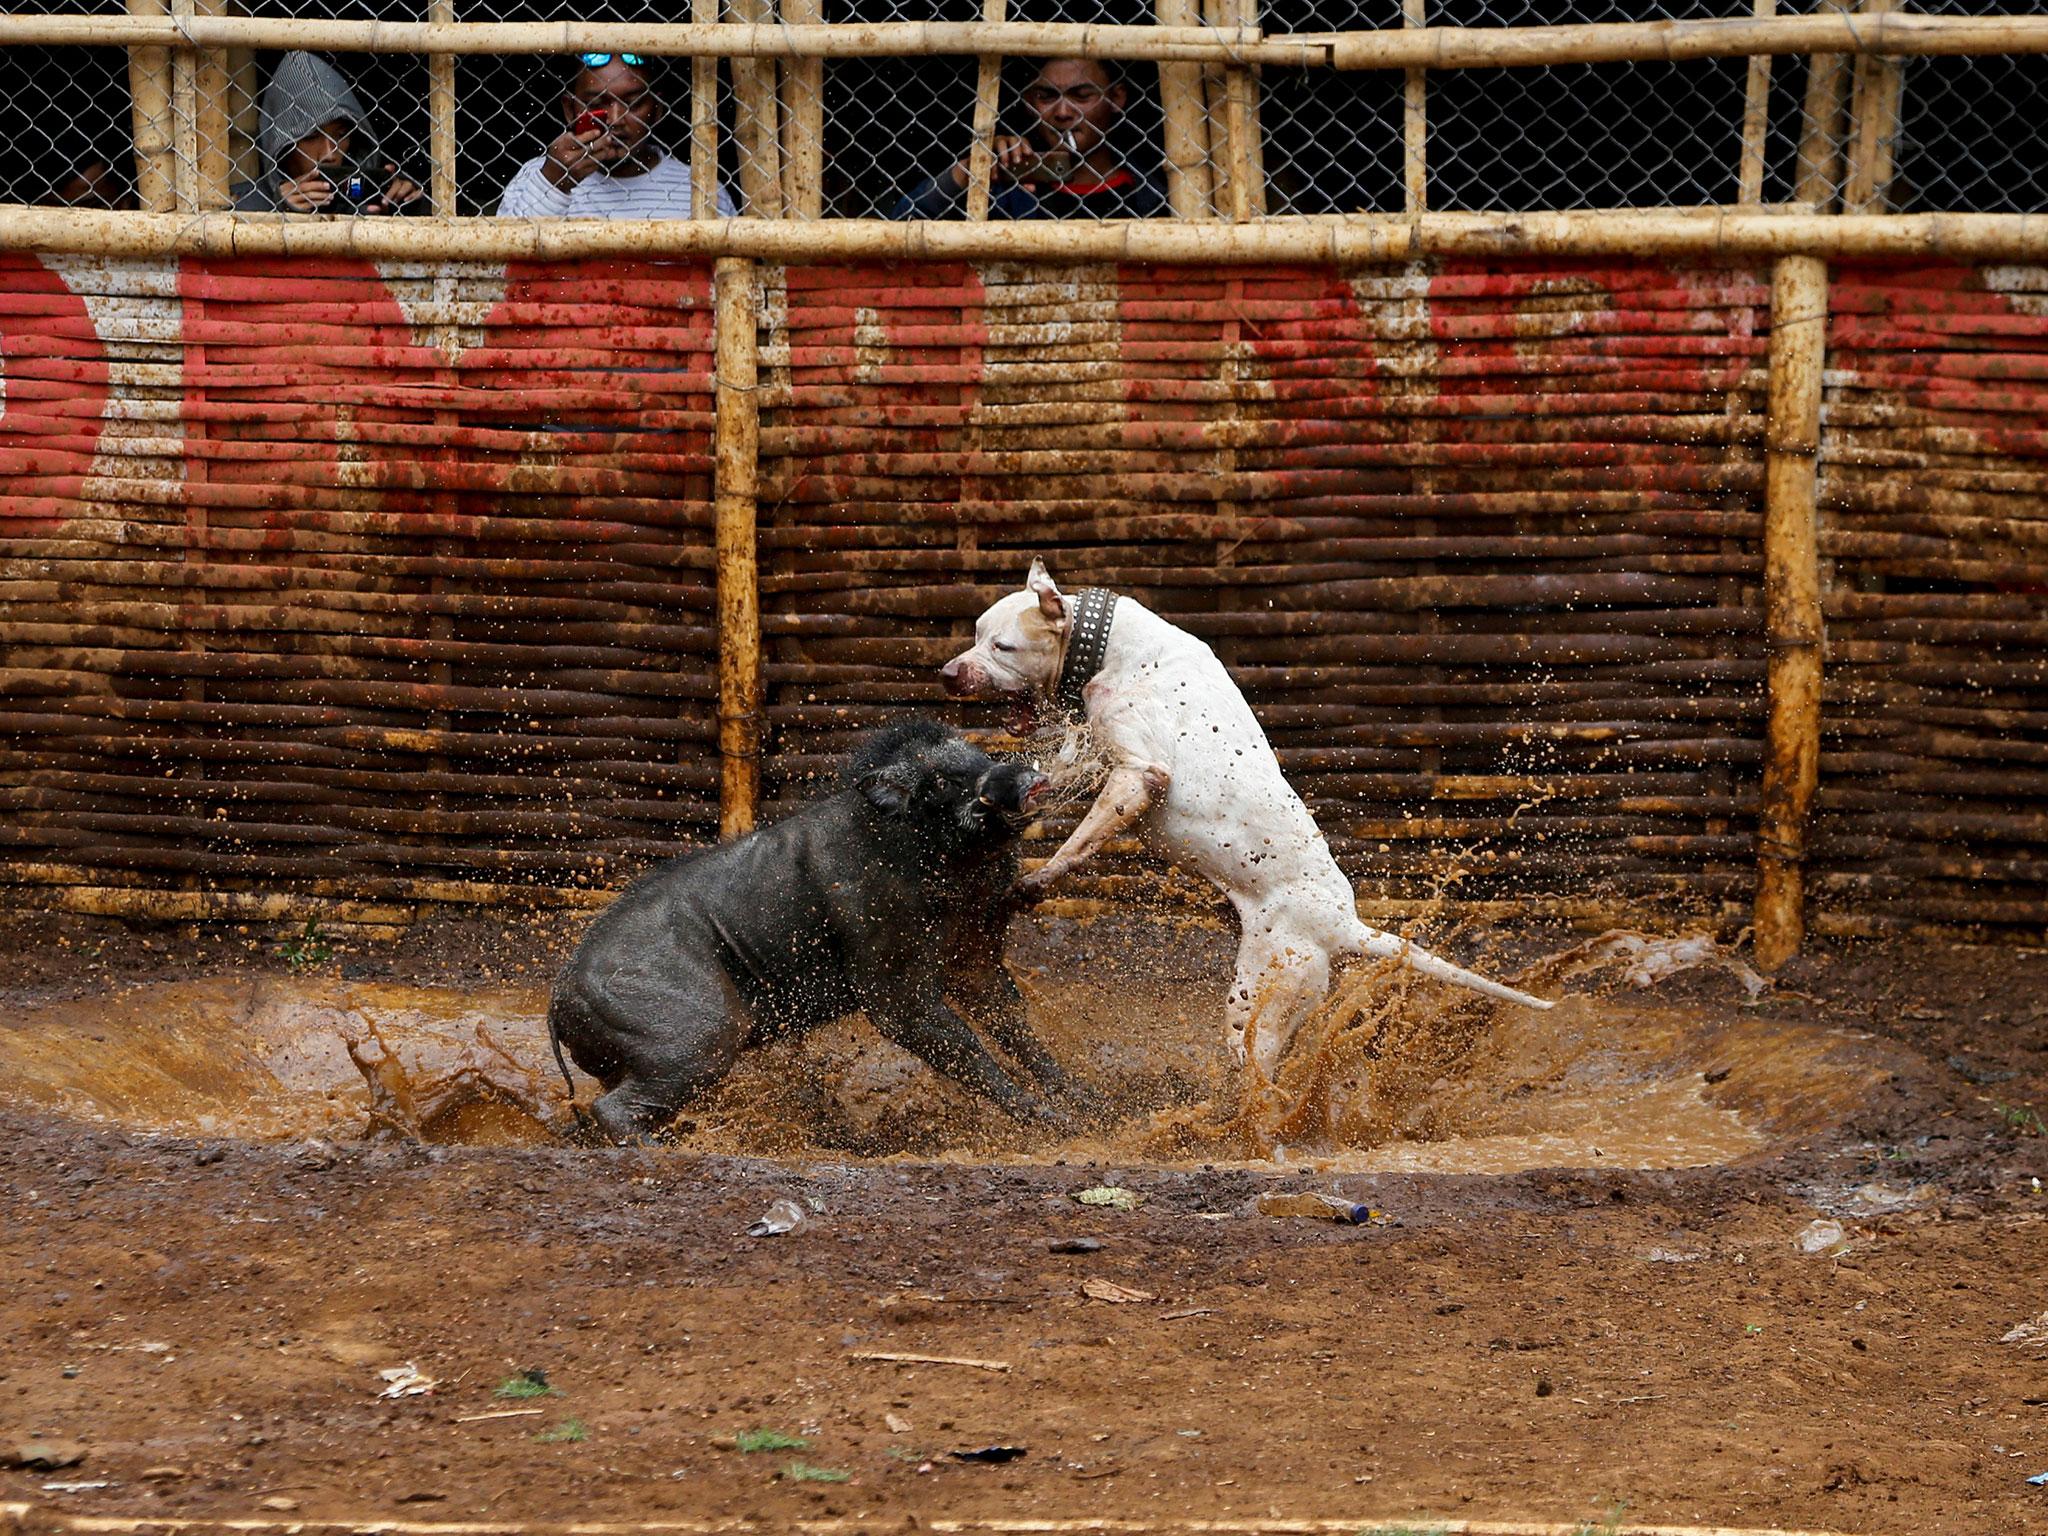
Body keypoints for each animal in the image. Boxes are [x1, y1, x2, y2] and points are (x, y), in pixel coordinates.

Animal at [942, 561, 1548, 1081]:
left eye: (1003, 646)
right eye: (976, 633)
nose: (948, 673)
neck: (1114, 648)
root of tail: (1342, 923)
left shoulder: (1139, 776)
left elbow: (1078, 844)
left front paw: (1033, 883)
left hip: (1259, 998)